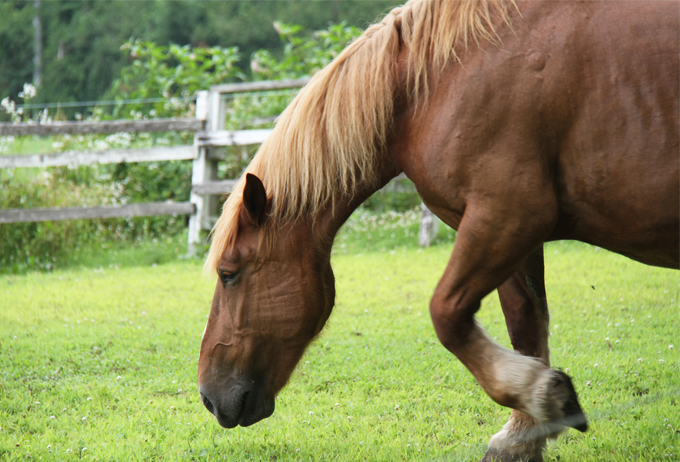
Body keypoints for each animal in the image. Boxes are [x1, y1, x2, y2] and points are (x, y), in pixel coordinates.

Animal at [195, 1, 676, 460]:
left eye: (228, 274)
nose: (207, 397)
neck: (432, 85)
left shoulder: (507, 215)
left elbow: (446, 314)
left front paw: (541, 396)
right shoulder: (514, 232)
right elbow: (525, 325)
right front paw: (522, 434)